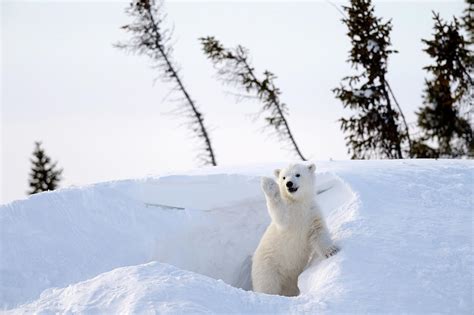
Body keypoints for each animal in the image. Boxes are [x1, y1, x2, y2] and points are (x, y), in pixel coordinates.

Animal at [252, 164, 336, 298]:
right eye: (283, 177)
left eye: (298, 174)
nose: (289, 184)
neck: (297, 203)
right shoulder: (288, 218)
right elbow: (280, 214)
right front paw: (269, 184)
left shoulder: (311, 214)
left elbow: (318, 232)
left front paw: (331, 251)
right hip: (268, 267)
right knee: (267, 285)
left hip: (289, 279)